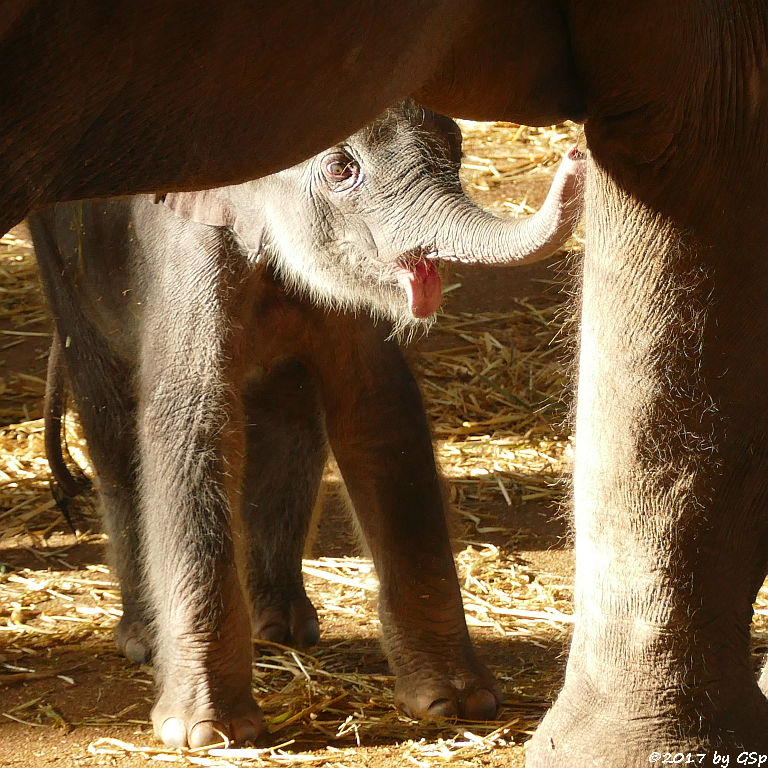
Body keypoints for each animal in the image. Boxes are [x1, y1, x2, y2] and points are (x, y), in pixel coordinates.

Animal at [30, 99, 584, 748]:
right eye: (342, 168)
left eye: (456, 145)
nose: (577, 154)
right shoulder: (185, 252)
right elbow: (191, 421)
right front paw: (206, 734)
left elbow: (378, 410)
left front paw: (458, 704)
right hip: (61, 261)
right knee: (112, 419)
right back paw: (144, 640)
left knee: (287, 416)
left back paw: (283, 630)